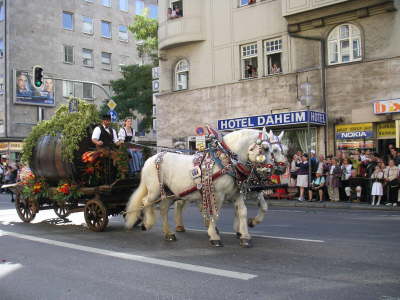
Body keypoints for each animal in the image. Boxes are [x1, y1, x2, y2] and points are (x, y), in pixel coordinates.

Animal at [124, 127, 268, 247]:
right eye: (266, 148)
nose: (269, 172)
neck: (225, 161)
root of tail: (151, 159)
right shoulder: (217, 194)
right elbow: (214, 213)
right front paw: (214, 236)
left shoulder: (236, 193)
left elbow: (242, 211)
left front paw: (245, 236)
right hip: (155, 190)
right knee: (146, 202)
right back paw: (147, 223)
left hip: (170, 192)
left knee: (164, 209)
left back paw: (168, 233)